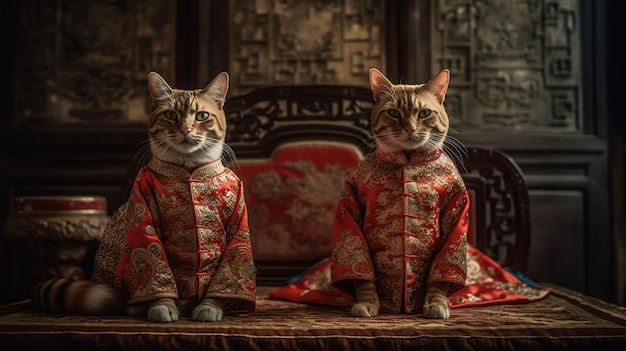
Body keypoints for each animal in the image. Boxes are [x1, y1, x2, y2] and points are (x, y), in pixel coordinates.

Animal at [30, 71, 256, 322]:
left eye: (202, 116)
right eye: (170, 115)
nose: (185, 130)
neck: (188, 170)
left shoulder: (237, 221)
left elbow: (230, 268)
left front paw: (211, 306)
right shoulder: (143, 210)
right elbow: (154, 264)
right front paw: (163, 306)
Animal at [330, 67, 466, 320]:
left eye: (424, 113)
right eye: (393, 113)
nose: (410, 128)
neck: (407, 160)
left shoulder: (457, 210)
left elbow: (442, 271)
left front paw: (436, 303)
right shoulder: (350, 208)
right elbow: (361, 270)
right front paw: (367, 302)